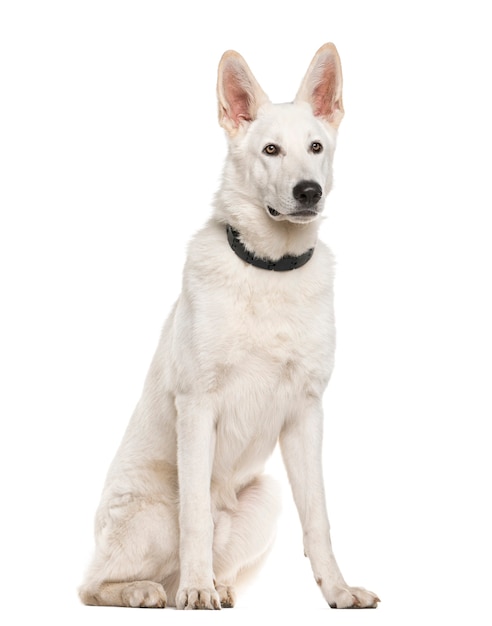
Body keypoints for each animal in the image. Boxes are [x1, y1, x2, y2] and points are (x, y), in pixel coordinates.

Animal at [80, 41, 380, 608]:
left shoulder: (306, 414)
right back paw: (155, 590)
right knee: (93, 584)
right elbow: (195, 514)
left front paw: (338, 590)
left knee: (209, 563)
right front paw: (196, 592)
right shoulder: (198, 405)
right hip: (154, 514)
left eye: (315, 147)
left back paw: (211, 584)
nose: (308, 192)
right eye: (270, 150)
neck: (270, 269)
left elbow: (319, 519)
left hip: (266, 499)